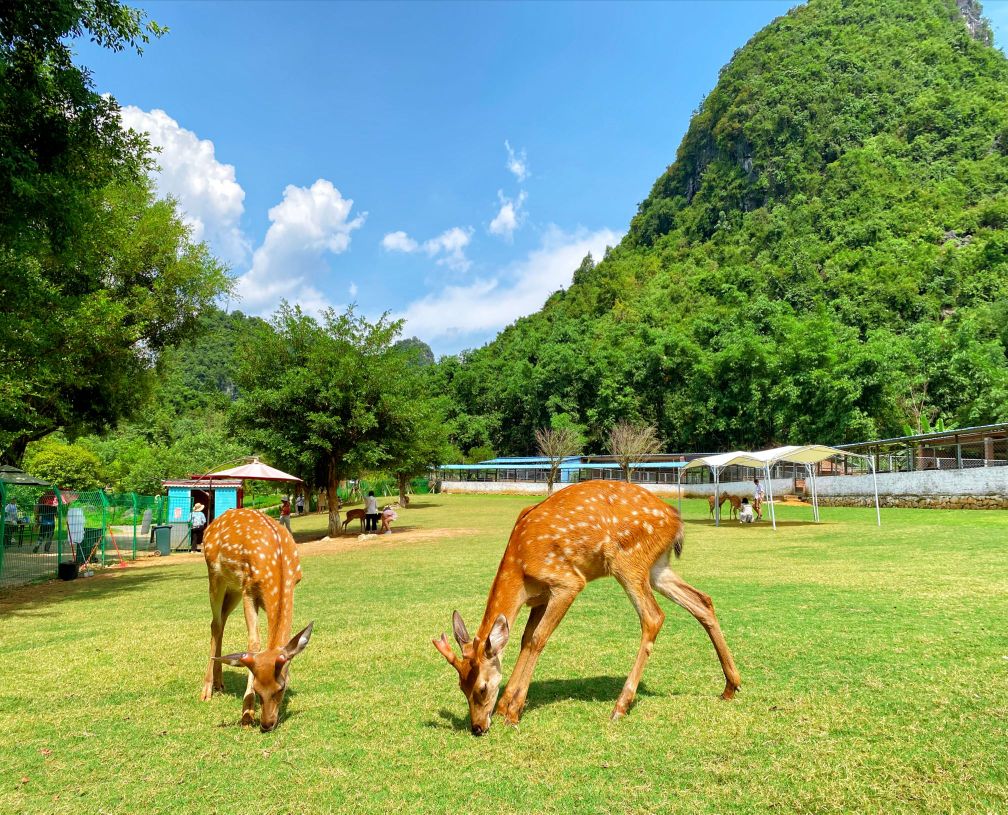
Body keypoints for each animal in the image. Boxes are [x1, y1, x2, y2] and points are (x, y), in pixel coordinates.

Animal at [198, 505, 312, 729]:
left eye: (282, 687)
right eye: (258, 690)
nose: (267, 724)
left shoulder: (291, 584)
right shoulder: (248, 590)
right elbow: (253, 644)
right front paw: (247, 713)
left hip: (233, 588)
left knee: (221, 621)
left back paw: (219, 682)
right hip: (215, 575)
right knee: (215, 623)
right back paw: (207, 690)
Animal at [433, 479, 741, 733]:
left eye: (482, 689)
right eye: (461, 687)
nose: (477, 727)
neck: (520, 572)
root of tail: (676, 519)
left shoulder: (566, 582)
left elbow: (537, 639)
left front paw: (512, 712)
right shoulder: (539, 598)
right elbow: (523, 640)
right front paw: (505, 707)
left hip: (627, 560)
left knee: (653, 616)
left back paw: (620, 706)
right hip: (657, 567)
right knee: (702, 601)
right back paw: (731, 686)